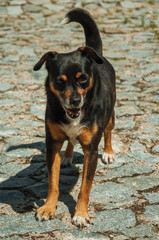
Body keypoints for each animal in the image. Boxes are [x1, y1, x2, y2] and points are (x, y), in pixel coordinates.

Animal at [33, 8, 115, 228]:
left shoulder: (91, 151)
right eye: (60, 82)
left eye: (83, 79)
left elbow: (85, 187)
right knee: (70, 141)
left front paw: (80, 214)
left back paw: (109, 153)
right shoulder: (52, 144)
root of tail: (97, 54)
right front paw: (48, 207)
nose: (75, 101)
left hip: (110, 116)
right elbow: (53, 181)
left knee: (108, 132)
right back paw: (68, 156)